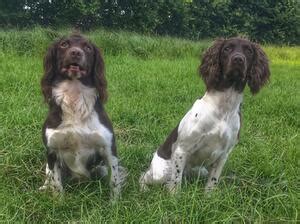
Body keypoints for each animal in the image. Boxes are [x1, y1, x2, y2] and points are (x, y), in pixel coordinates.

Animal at [39, 33, 124, 198]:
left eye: (88, 48)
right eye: (64, 44)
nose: (76, 53)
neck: (74, 97)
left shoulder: (109, 147)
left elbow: (114, 182)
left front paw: (115, 202)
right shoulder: (52, 150)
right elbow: (56, 184)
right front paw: (58, 201)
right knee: (48, 176)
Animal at [139, 36, 270, 192]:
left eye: (249, 51)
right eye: (227, 49)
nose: (238, 59)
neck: (223, 109)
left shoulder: (223, 155)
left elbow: (212, 183)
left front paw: (208, 196)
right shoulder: (181, 150)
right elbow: (176, 183)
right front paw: (174, 196)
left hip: (200, 170)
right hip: (161, 172)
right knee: (145, 176)